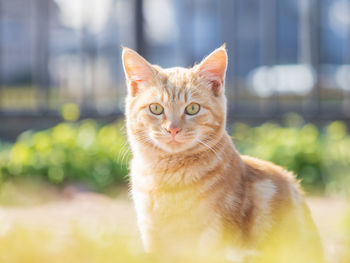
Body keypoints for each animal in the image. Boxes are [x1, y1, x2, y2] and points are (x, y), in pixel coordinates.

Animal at [121, 46, 324, 263]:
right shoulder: (151, 235)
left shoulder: (215, 233)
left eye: (192, 108)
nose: (173, 129)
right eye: (156, 108)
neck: (169, 178)